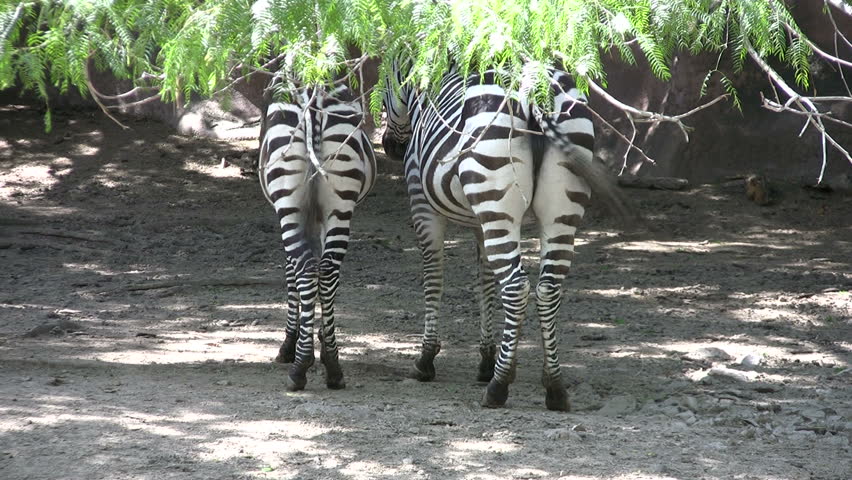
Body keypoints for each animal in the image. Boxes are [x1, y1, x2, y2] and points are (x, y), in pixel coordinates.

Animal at [259, 77, 376, 391]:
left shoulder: (297, 214)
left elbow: (291, 273)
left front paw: (292, 343)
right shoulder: (319, 216)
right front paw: (320, 340)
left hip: (288, 203)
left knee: (305, 267)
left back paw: (299, 365)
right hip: (341, 203)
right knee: (327, 269)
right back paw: (333, 365)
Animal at [382, 63, 635, 410]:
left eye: (384, 85)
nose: (390, 148)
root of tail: (536, 91)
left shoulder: (422, 204)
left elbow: (434, 279)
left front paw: (426, 359)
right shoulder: (480, 222)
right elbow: (486, 284)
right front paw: (487, 360)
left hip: (496, 195)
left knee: (516, 287)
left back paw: (499, 387)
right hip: (556, 209)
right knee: (548, 288)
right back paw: (554, 387)